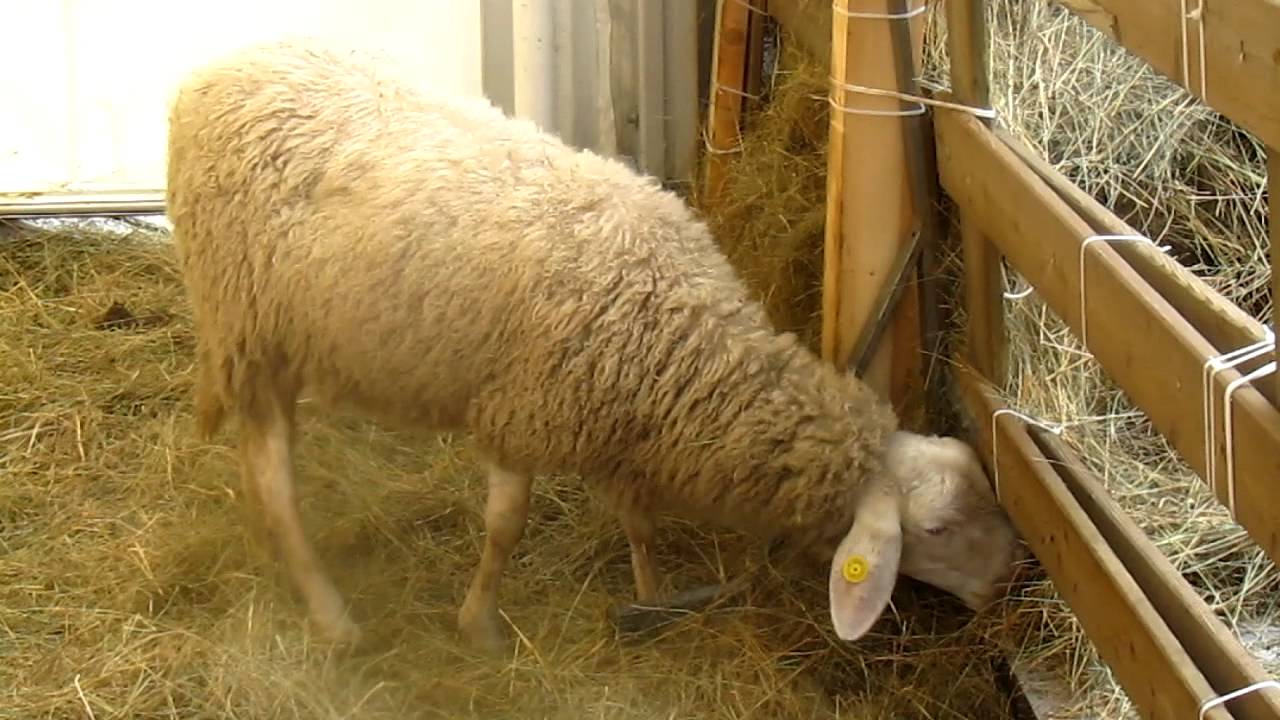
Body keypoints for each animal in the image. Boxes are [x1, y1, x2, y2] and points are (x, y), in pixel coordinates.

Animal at [165, 39, 1026, 651]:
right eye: (937, 531)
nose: (1010, 583)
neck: (681, 338)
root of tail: (214, 72)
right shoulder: (520, 411)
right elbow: (506, 528)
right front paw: (479, 625)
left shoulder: (620, 428)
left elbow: (639, 519)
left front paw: (651, 592)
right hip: (246, 326)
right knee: (272, 473)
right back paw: (331, 614)